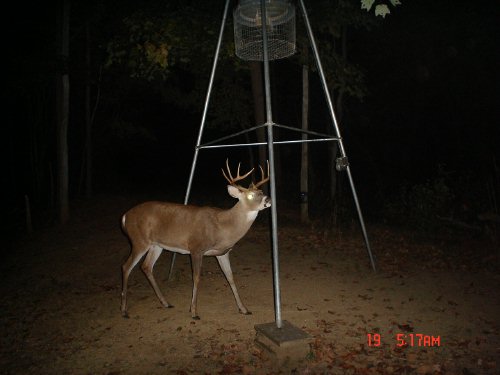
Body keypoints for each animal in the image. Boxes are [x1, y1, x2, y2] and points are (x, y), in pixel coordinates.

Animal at [120, 159, 270, 320]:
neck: (222, 227)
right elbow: (196, 277)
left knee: (146, 266)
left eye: (261, 192)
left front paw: (244, 309)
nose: (268, 199)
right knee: (126, 266)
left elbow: (230, 277)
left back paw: (166, 303)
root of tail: (125, 217)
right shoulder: (196, 248)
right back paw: (124, 310)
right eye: (250, 196)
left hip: (156, 245)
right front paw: (194, 312)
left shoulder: (223, 252)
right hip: (139, 241)